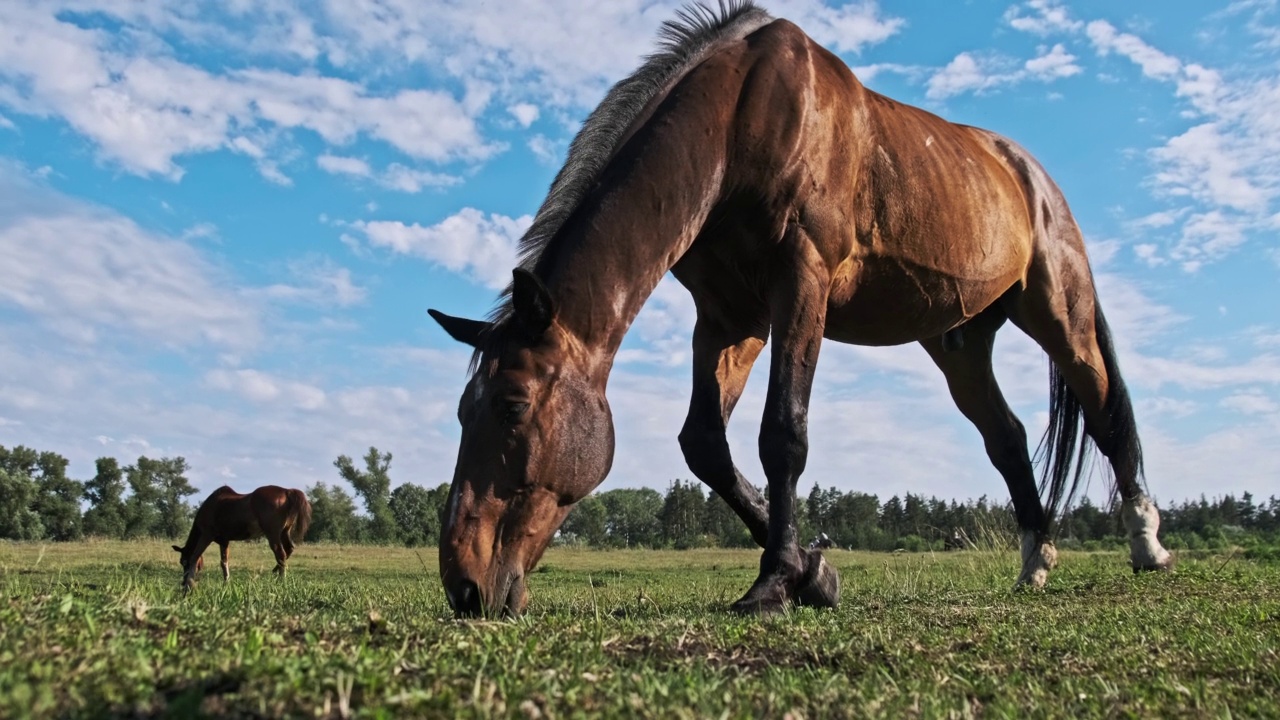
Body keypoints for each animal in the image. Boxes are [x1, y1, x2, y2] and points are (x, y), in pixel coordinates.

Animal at [171, 481, 311, 589]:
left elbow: (195, 556)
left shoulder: (206, 535)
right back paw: (275, 572)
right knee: (288, 549)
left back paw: (281, 580)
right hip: (284, 532)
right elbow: (223, 562)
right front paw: (226, 582)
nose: (182, 582)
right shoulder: (224, 541)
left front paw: (189, 583)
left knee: (281, 554)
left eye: (183, 561)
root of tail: (287, 491)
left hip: (273, 534)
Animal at [427, 1, 1172, 617]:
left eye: (512, 406)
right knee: (1008, 438)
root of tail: (1024, 170)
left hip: (1058, 310)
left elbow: (782, 432)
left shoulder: (801, 282)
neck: (740, 118)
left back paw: (1146, 544)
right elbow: (706, 446)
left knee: (1104, 409)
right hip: (959, 343)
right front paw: (814, 574)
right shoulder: (730, 317)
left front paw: (776, 581)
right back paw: (1035, 561)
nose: (465, 586)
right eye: (464, 410)